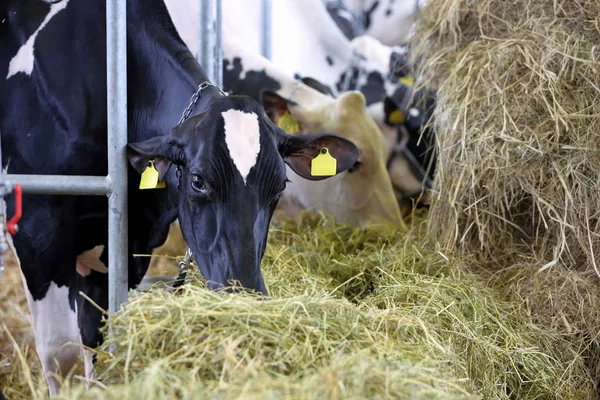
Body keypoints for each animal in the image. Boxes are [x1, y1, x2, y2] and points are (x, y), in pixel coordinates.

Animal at [0, 0, 356, 394]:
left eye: (279, 186)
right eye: (197, 181)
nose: (245, 296)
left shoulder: (125, 249)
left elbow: (95, 339)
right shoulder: (38, 227)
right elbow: (62, 356)